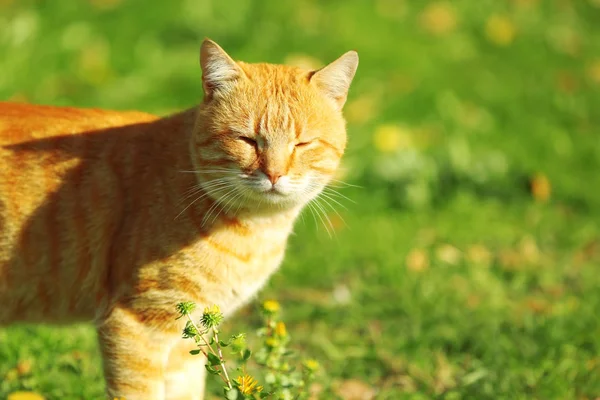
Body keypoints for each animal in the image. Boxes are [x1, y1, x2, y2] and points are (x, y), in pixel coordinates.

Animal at [0, 38, 356, 400]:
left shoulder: (187, 339)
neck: (255, 229)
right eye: (246, 140)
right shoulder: (137, 325)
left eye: (303, 143)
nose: (274, 174)